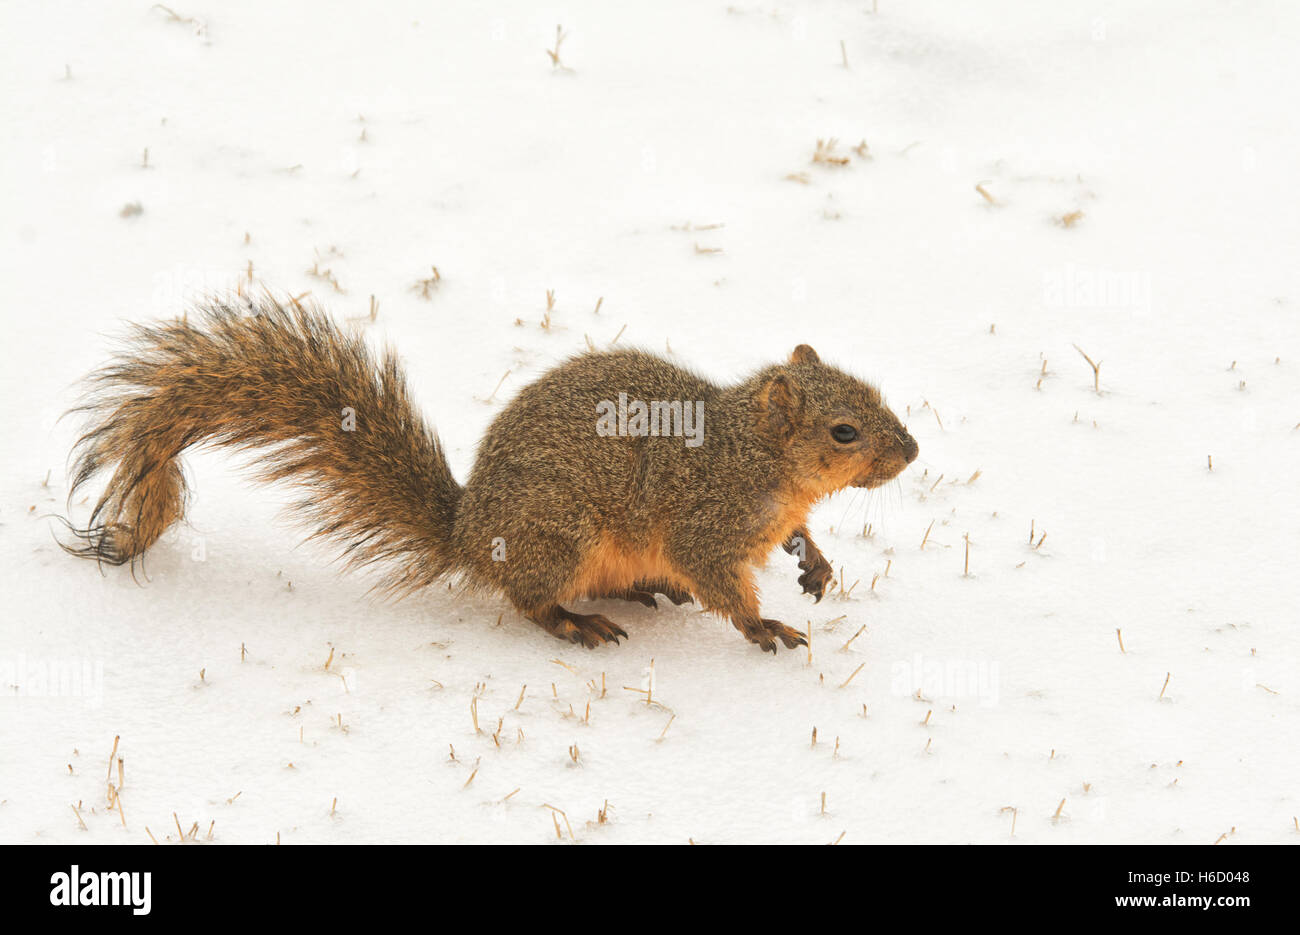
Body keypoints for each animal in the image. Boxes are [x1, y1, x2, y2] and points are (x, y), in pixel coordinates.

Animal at [58, 296, 915, 655]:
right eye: (844, 431)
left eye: (872, 391)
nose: (911, 452)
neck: (758, 456)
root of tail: (469, 533)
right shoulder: (708, 519)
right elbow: (718, 578)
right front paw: (764, 625)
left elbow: (796, 537)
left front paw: (816, 563)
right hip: (561, 532)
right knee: (529, 599)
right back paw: (577, 622)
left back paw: (642, 588)